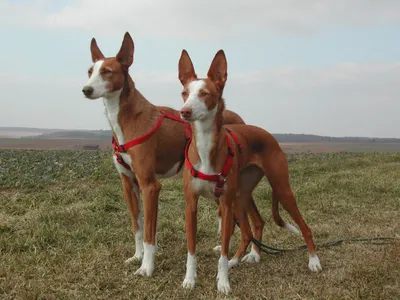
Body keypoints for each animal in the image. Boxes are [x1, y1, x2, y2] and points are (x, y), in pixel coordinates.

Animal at [81, 32, 245, 276]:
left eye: (107, 71)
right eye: (90, 71)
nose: (86, 90)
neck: (127, 119)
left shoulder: (150, 185)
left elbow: (150, 232)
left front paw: (147, 266)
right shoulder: (129, 183)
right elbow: (138, 226)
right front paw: (138, 256)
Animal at [178, 50, 322, 294]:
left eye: (205, 93)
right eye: (184, 93)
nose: (185, 112)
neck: (206, 146)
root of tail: (267, 133)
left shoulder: (225, 205)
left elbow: (223, 250)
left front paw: (223, 282)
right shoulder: (191, 205)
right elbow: (191, 249)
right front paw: (190, 280)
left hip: (280, 190)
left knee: (304, 227)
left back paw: (313, 261)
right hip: (241, 196)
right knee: (253, 227)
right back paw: (245, 257)